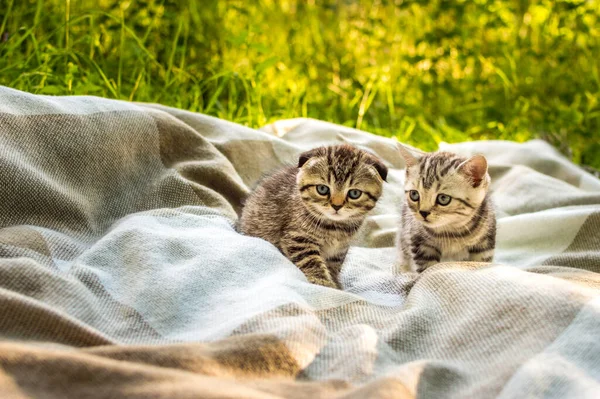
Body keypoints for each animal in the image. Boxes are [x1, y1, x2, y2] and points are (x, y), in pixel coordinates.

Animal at [239, 145, 390, 290]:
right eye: (322, 189)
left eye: (354, 193)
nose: (336, 206)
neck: (336, 227)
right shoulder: (297, 238)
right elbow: (310, 261)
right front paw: (323, 282)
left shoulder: (339, 250)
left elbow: (334, 265)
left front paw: (335, 282)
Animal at [396, 145, 494, 274]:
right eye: (414, 194)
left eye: (443, 198)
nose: (423, 212)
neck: (452, 230)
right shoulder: (420, 243)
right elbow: (427, 269)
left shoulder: (484, 243)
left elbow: (480, 262)